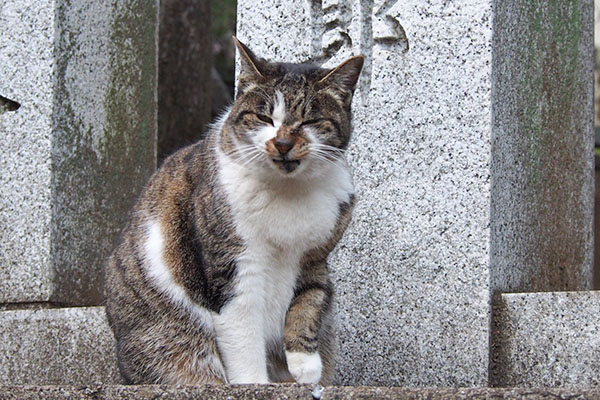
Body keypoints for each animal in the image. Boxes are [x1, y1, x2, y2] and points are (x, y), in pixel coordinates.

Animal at [103, 37, 364, 384]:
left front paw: (306, 366)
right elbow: (243, 334)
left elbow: (309, 302)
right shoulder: (232, 266)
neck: (288, 190)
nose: (282, 143)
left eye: (309, 121)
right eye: (265, 118)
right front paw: (255, 385)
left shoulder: (315, 257)